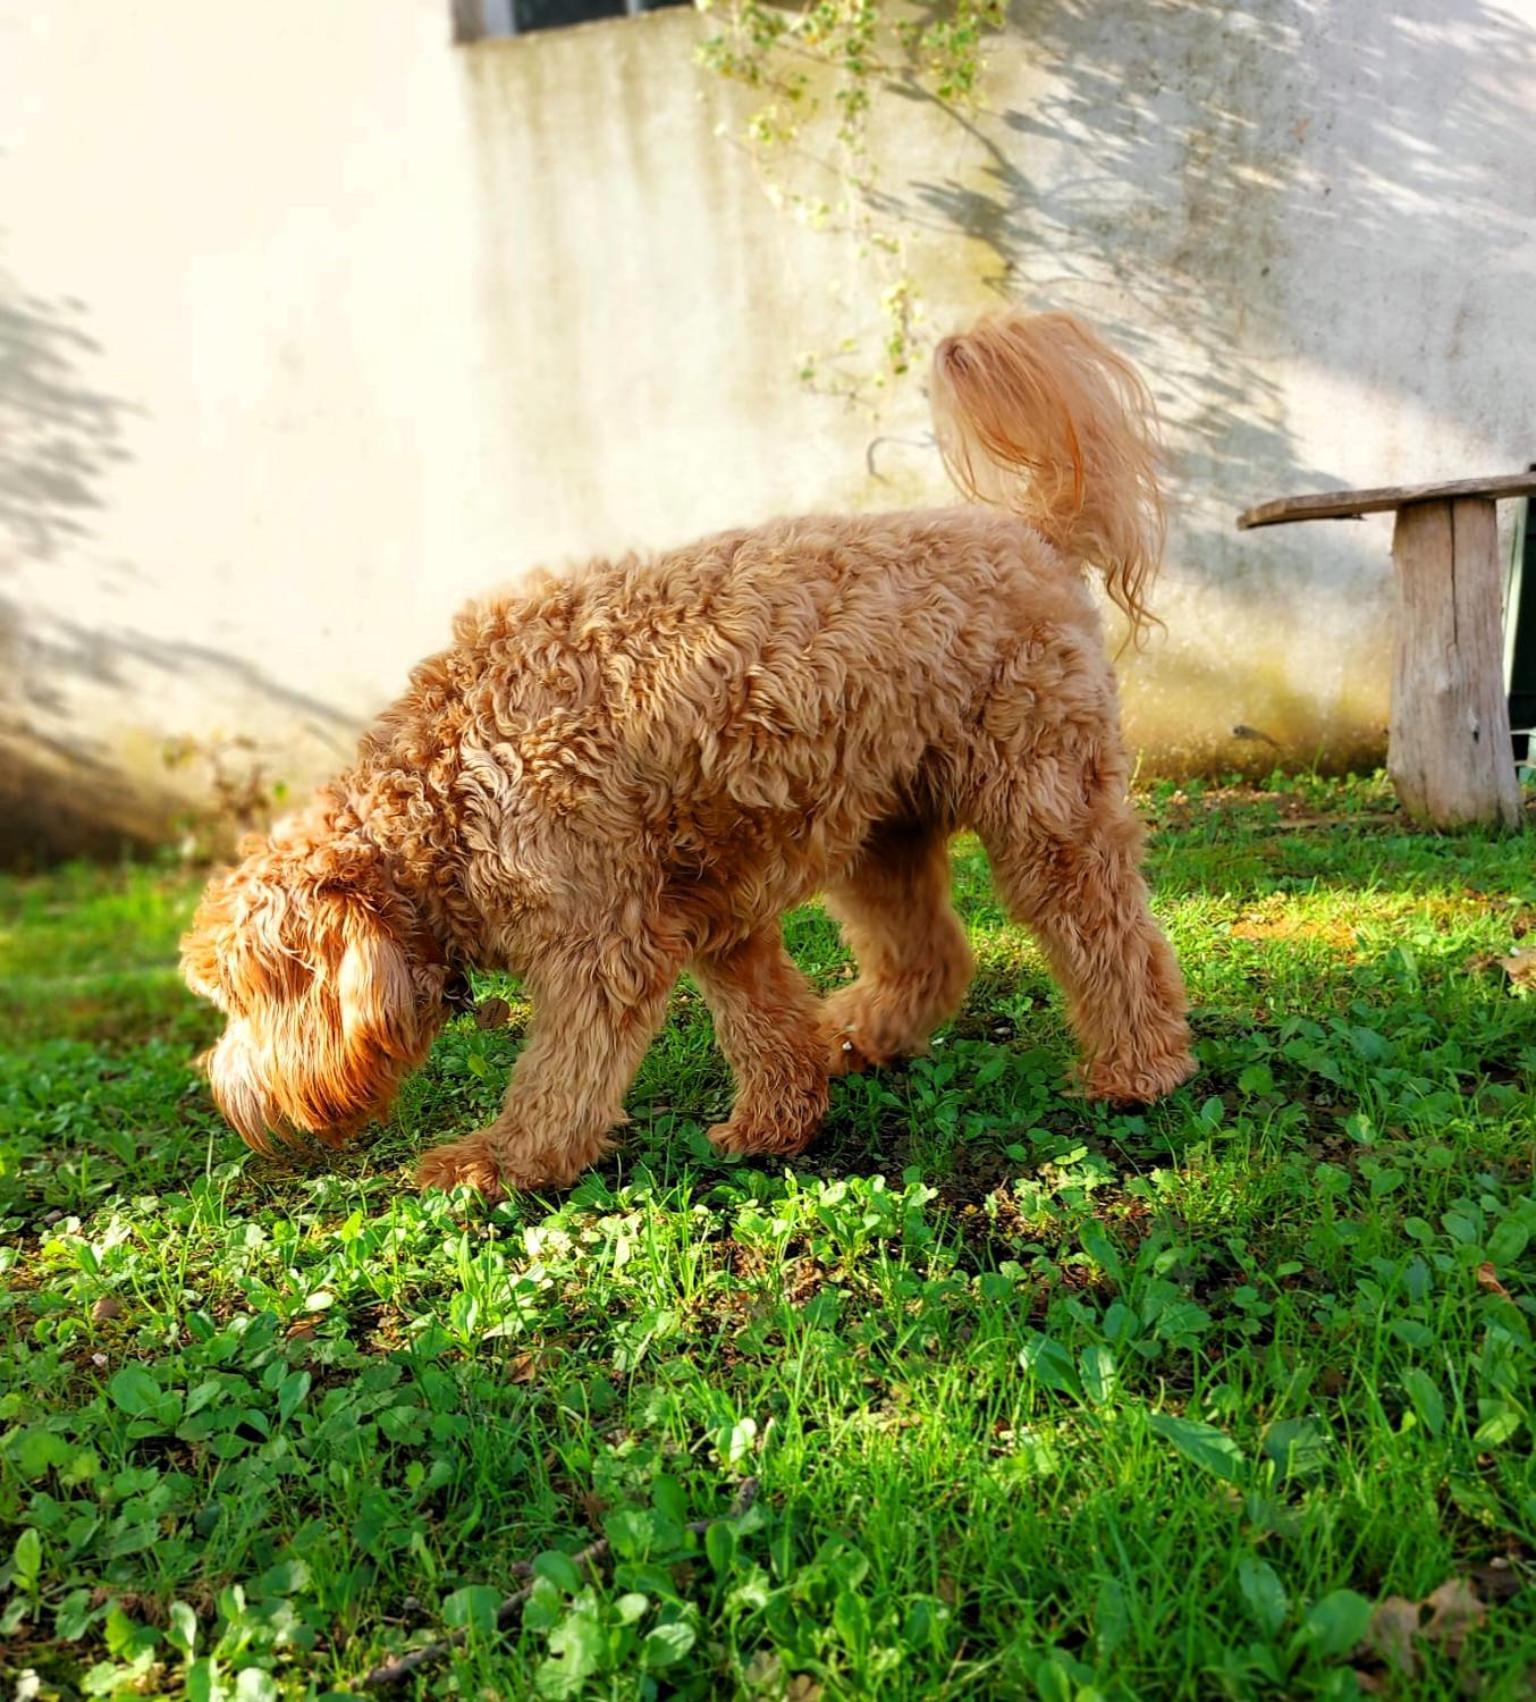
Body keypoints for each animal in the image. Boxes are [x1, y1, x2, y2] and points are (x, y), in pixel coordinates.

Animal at [183, 306, 1205, 1198]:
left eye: (248, 994)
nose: (227, 1096)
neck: (445, 791)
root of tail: (1029, 532)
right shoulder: (710, 908)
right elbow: (759, 1016)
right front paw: (777, 1120)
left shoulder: (603, 940)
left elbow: (561, 1075)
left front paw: (499, 1162)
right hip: (884, 829)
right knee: (932, 953)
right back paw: (864, 1035)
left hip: (1047, 804)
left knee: (1112, 934)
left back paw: (1139, 1068)